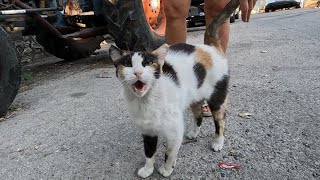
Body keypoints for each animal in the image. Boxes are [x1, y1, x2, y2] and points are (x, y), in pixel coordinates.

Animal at [109, 0, 239, 177]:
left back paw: (218, 142)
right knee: (198, 115)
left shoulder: (174, 129)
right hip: (194, 97)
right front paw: (148, 169)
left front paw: (166, 169)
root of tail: (209, 46)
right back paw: (193, 133)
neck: (147, 101)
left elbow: (170, 152)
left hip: (217, 97)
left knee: (220, 121)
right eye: (128, 64)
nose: (137, 72)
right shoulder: (148, 131)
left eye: (148, 63)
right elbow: (149, 152)